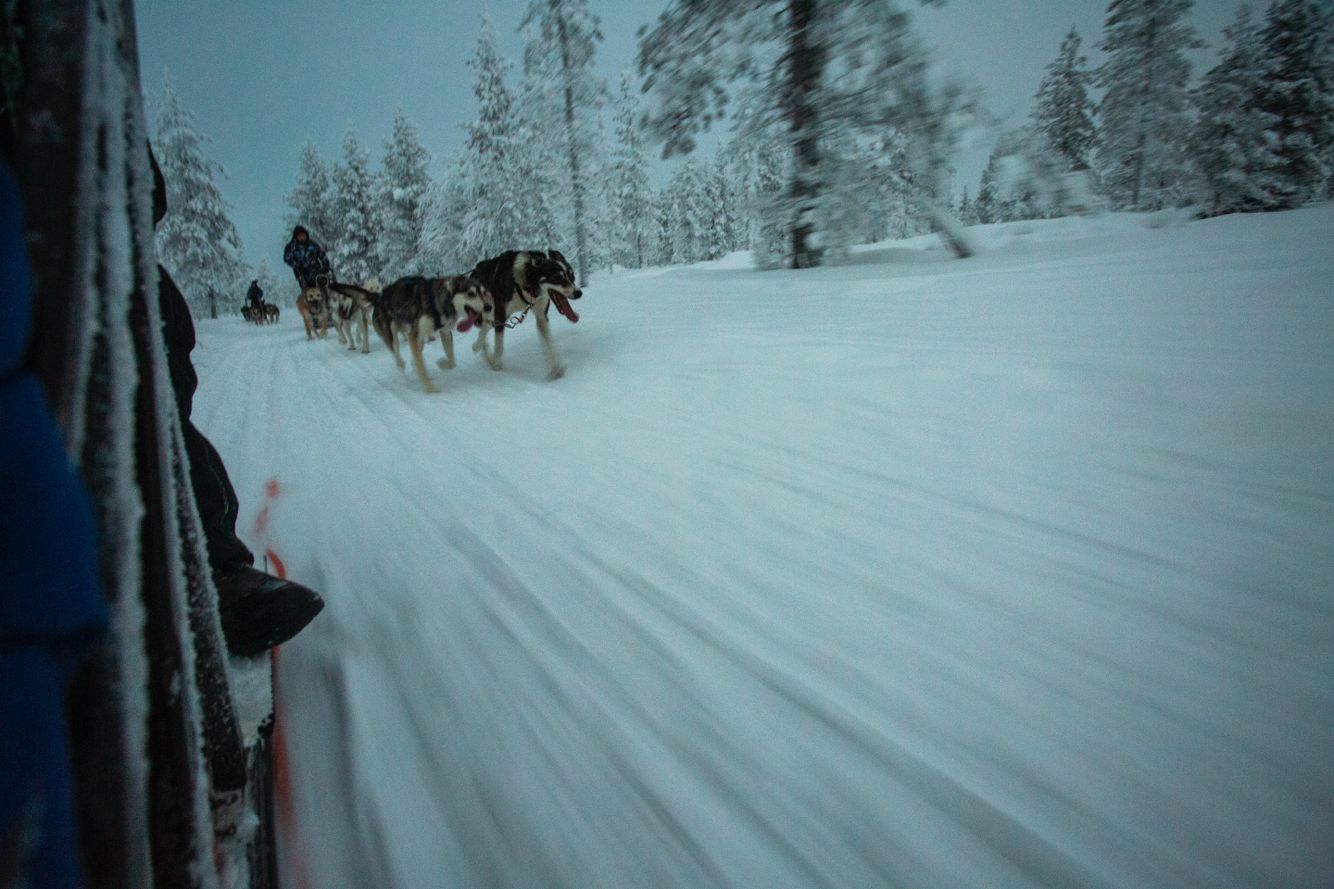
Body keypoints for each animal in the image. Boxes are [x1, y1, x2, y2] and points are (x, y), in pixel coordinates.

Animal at [472, 246, 581, 379]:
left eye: (572, 276)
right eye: (557, 277)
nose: (578, 293)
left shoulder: (541, 316)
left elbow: (549, 342)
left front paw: (555, 369)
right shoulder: (500, 312)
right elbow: (499, 346)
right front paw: (496, 364)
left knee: (486, 326)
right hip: (491, 311)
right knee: (484, 327)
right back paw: (480, 349)